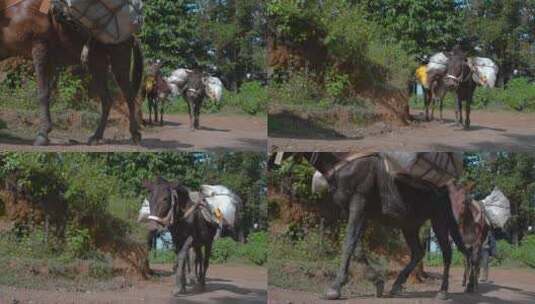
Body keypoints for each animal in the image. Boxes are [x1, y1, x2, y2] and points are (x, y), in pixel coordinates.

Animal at [1, 0, 143, 145]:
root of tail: (132, 37)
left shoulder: (40, 47)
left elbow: (43, 93)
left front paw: (43, 134)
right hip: (97, 65)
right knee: (107, 99)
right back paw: (96, 137)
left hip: (119, 61)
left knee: (129, 95)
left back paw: (135, 134)